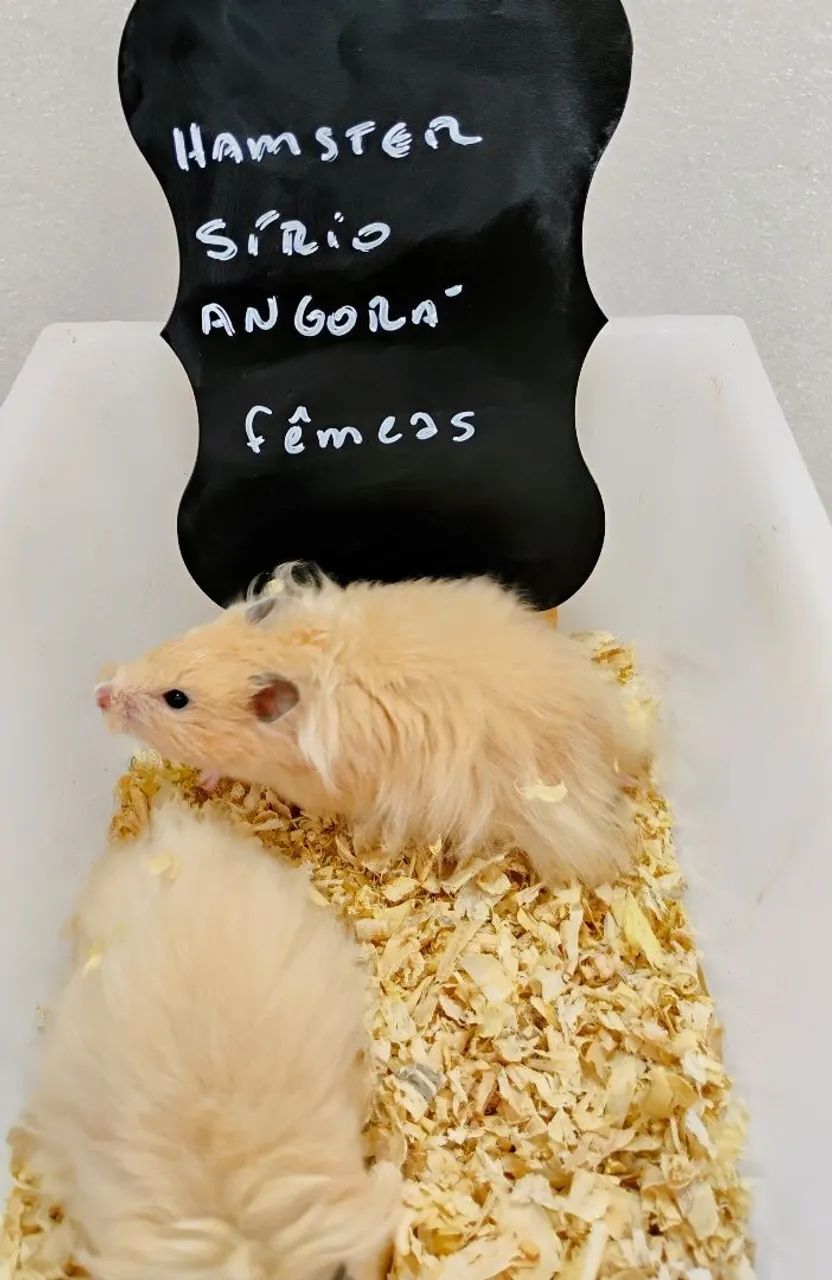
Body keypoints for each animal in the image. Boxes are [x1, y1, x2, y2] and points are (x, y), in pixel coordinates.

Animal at [96, 565, 647, 887]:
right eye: (174, 642)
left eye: (176, 699)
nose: (99, 693)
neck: (295, 660)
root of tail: (610, 748)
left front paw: (209, 777)